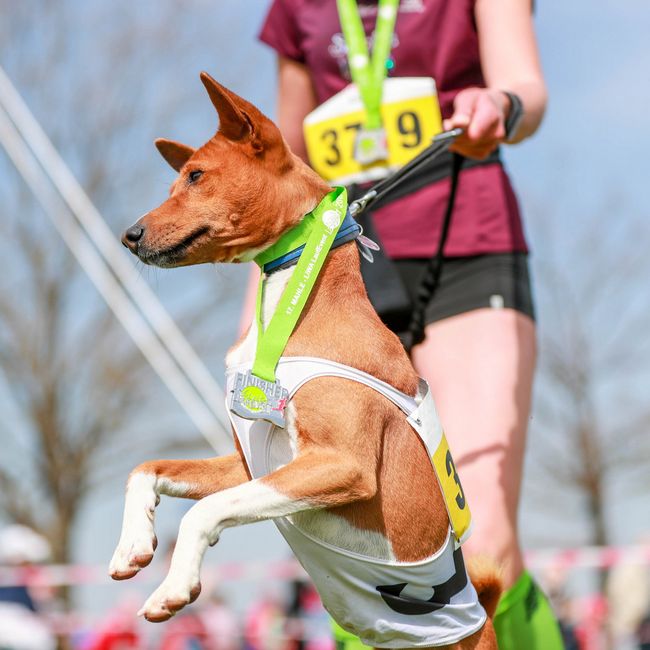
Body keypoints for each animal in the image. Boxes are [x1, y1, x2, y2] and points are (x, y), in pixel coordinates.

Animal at [112, 72, 496, 648]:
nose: (129, 235)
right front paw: (133, 544)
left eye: (196, 176)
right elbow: (147, 469)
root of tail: (479, 619)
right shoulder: (248, 465)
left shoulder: (340, 464)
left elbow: (205, 510)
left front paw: (174, 586)